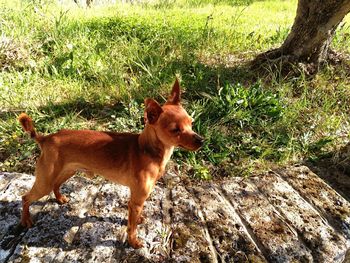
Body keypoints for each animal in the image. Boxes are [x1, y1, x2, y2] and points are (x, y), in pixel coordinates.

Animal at [19, 79, 204, 250]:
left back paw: (59, 198)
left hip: (67, 171)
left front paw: (139, 219)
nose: (201, 140)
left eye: (191, 123)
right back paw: (26, 220)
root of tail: (46, 138)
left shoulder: (137, 201)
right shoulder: (136, 201)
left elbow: (135, 219)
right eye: (175, 130)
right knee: (26, 197)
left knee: (55, 185)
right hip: (45, 181)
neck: (147, 150)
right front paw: (133, 242)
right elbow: (131, 228)